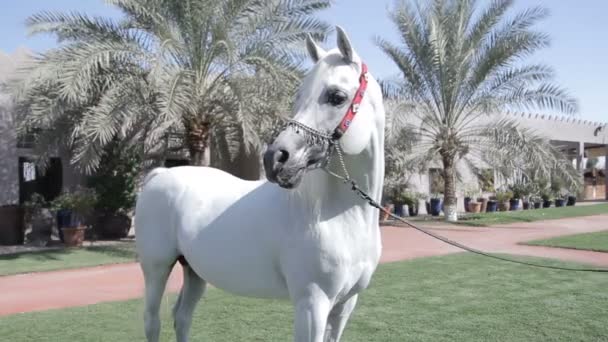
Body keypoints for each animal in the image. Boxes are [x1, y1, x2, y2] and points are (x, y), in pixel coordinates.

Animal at [136, 26, 388, 342]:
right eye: (298, 96)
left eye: (336, 96)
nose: (275, 158)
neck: (340, 217)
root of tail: (159, 175)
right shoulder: (312, 304)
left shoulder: (345, 305)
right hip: (156, 269)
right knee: (152, 321)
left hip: (195, 272)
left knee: (182, 317)